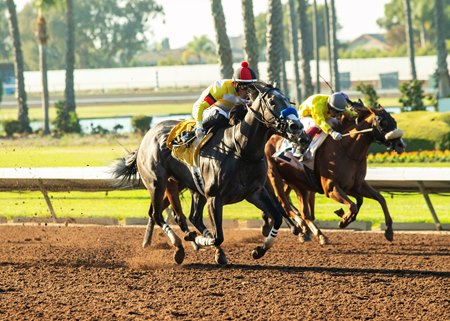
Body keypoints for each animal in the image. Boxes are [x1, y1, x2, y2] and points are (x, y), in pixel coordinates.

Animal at [111, 83, 306, 264]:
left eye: (288, 101)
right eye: (272, 101)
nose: (296, 126)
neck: (240, 150)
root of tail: (146, 137)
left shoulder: (254, 192)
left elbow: (277, 217)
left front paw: (259, 250)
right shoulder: (214, 197)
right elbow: (218, 236)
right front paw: (197, 239)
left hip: (181, 185)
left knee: (187, 216)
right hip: (157, 183)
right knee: (158, 214)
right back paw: (181, 245)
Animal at [262, 101, 406, 244]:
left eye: (394, 120)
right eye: (383, 123)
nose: (401, 145)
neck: (348, 151)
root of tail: (271, 138)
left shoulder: (356, 185)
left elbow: (380, 199)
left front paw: (389, 231)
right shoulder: (330, 187)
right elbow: (353, 206)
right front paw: (343, 219)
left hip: (298, 184)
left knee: (304, 212)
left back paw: (316, 234)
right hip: (275, 177)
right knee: (285, 205)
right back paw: (300, 228)